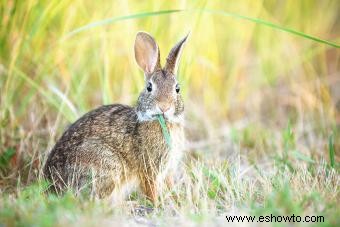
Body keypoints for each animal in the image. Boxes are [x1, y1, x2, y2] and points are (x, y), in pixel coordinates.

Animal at [43, 31, 189, 203]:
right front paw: (156, 204)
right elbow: (150, 188)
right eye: (149, 87)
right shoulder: (149, 168)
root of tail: (52, 186)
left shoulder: (168, 169)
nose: (164, 107)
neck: (162, 121)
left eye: (177, 89)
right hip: (106, 164)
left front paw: (177, 200)